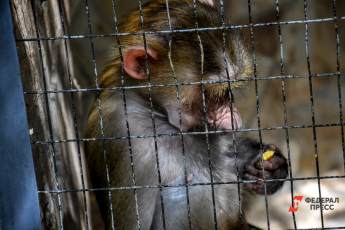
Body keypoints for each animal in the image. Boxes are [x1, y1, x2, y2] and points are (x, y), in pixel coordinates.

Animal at [85, 0, 288, 229]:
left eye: (228, 90)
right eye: (212, 93)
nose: (232, 113)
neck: (154, 110)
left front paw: (272, 168)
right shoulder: (121, 129)